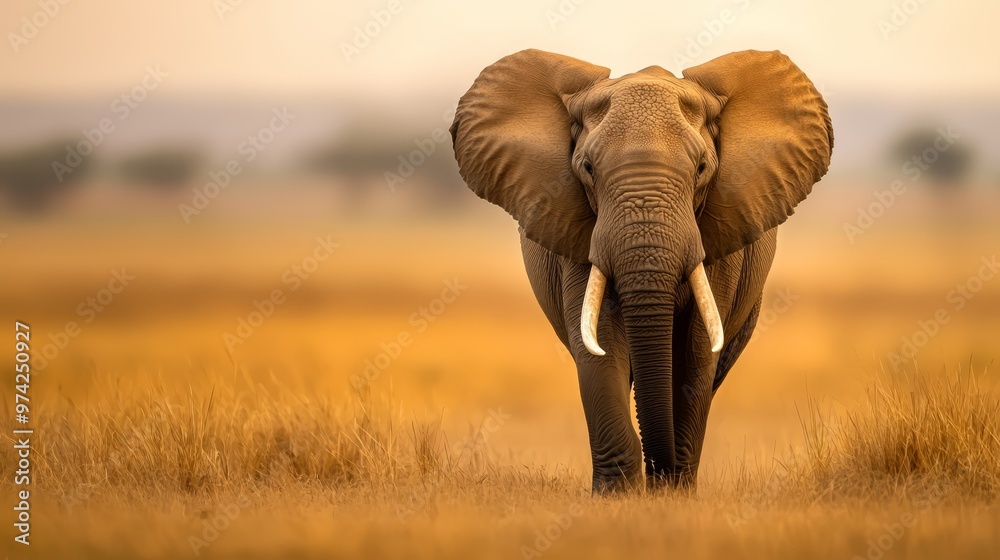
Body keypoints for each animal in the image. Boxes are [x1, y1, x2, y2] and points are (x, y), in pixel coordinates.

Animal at [450, 49, 833, 493]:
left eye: (702, 168)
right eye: (587, 168)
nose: (658, 473)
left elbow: (695, 351)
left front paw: (673, 493)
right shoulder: (577, 230)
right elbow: (599, 344)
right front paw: (617, 494)